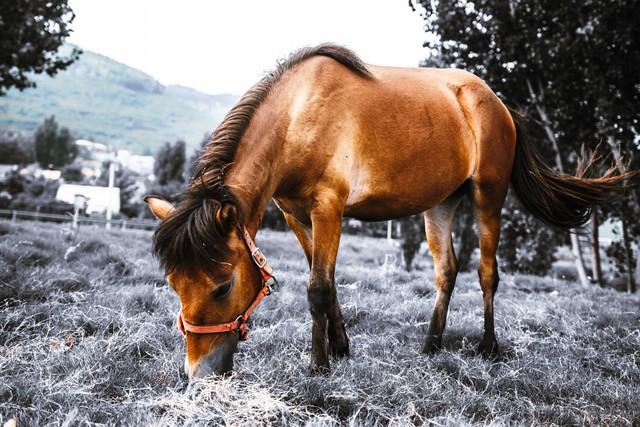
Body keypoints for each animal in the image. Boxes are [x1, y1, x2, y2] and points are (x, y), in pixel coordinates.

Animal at [146, 43, 632, 378]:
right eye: (173, 283)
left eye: (223, 286)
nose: (199, 374)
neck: (299, 117)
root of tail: (496, 101)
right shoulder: (294, 214)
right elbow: (329, 283)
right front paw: (341, 349)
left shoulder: (328, 208)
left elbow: (317, 288)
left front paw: (319, 365)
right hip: (441, 205)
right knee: (446, 270)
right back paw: (431, 344)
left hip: (487, 196)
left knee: (486, 273)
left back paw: (488, 347)